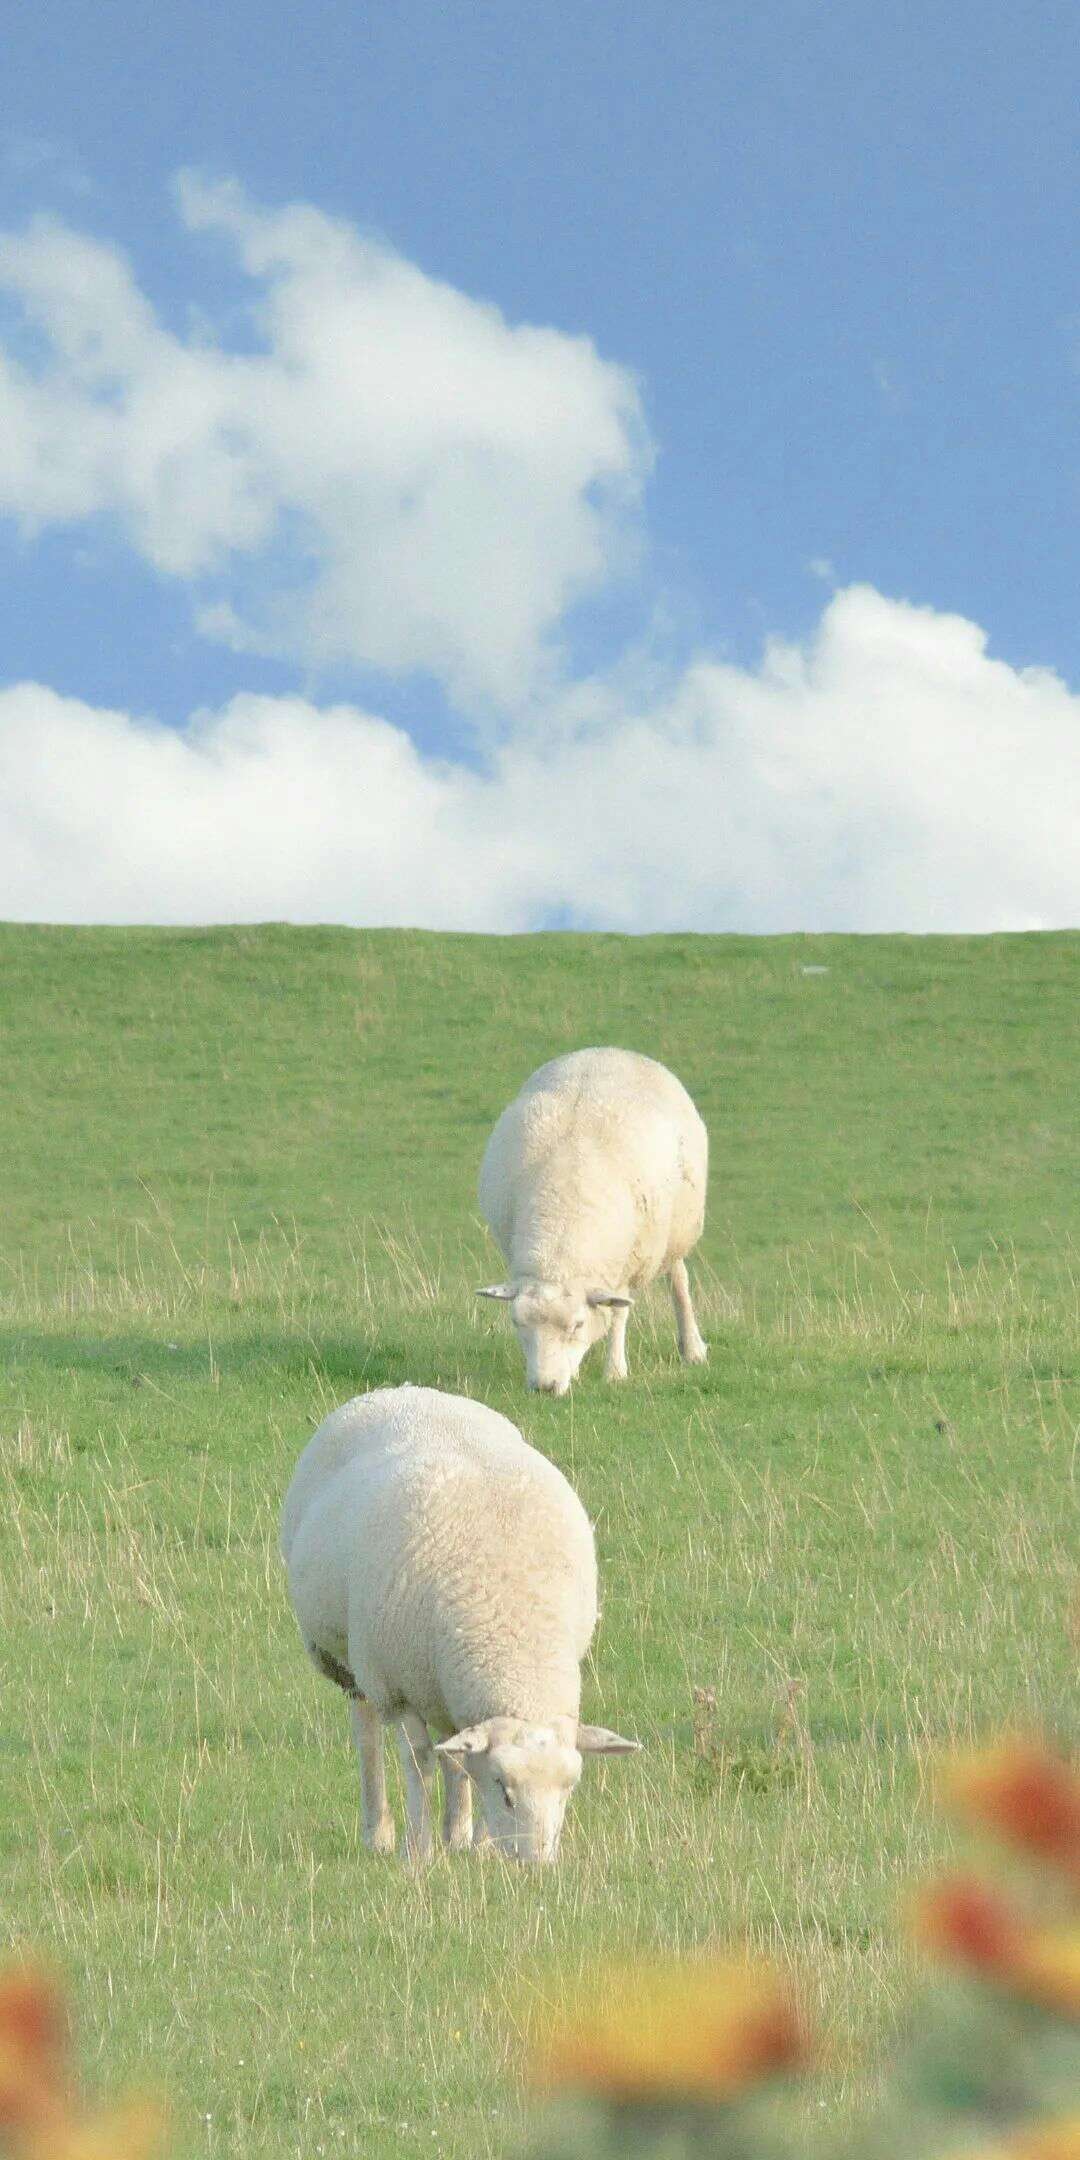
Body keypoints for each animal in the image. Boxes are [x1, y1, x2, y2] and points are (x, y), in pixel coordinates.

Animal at [278, 1391, 639, 1866]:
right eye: (505, 1790)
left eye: (568, 1789)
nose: (537, 1865)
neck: (513, 1635)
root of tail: (402, 1391)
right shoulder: (397, 1689)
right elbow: (419, 1764)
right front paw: (417, 1852)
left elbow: (462, 1762)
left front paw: (477, 1846)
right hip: (352, 1663)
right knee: (368, 1734)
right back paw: (379, 1832)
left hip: (439, 1683)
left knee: (452, 1749)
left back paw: (457, 1832)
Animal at [479, 1049, 708, 1399]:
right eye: (518, 1324)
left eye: (577, 1325)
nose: (544, 1387)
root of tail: (611, 1049)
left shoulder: (627, 1264)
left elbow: (617, 1314)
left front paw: (615, 1371)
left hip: (675, 1230)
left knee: (678, 1278)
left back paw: (693, 1349)